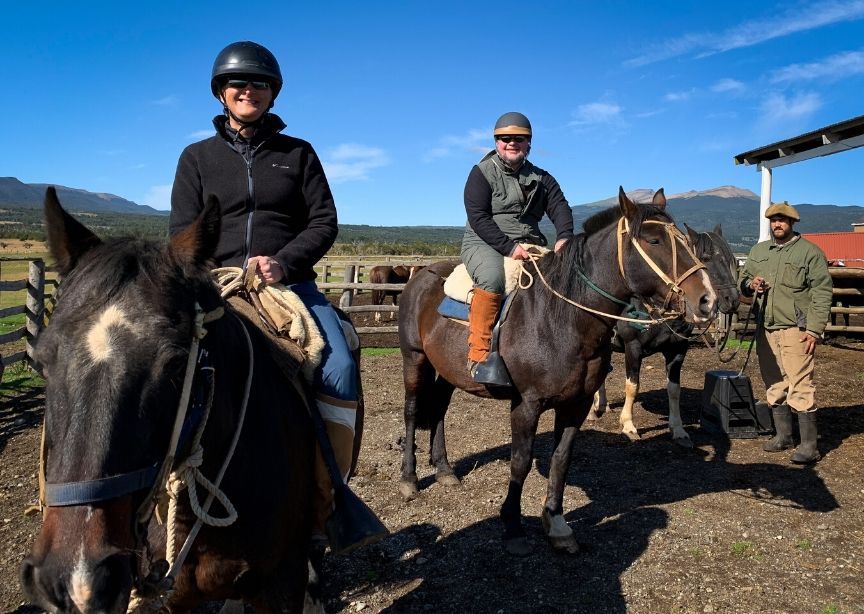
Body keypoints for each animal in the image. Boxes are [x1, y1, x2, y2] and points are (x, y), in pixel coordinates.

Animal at [396, 188, 716, 560]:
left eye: (687, 242)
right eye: (653, 240)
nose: (707, 300)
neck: (561, 318)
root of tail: (422, 276)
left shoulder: (576, 405)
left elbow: (561, 461)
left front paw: (557, 524)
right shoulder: (526, 405)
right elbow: (520, 463)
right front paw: (513, 527)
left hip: (445, 372)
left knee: (439, 413)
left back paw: (445, 470)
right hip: (414, 360)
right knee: (412, 412)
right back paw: (409, 480)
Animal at [592, 223, 740, 448]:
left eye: (730, 258)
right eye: (706, 258)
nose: (732, 300)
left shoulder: (677, 350)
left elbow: (674, 389)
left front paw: (678, 430)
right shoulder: (632, 347)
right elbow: (632, 386)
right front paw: (628, 425)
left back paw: (602, 404)